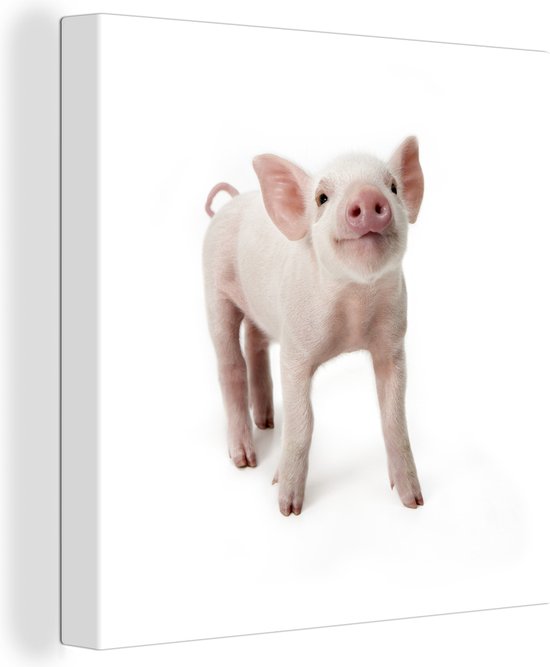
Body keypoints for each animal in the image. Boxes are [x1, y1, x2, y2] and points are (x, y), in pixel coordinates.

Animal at [202, 137, 424, 516]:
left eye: (392, 186)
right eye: (322, 198)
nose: (367, 197)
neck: (354, 305)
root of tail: (231, 201)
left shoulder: (393, 345)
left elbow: (395, 419)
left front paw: (414, 502)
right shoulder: (295, 350)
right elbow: (303, 422)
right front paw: (287, 508)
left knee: (255, 345)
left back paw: (267, 421)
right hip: (214, 290)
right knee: (230, 366)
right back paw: (245, 460)